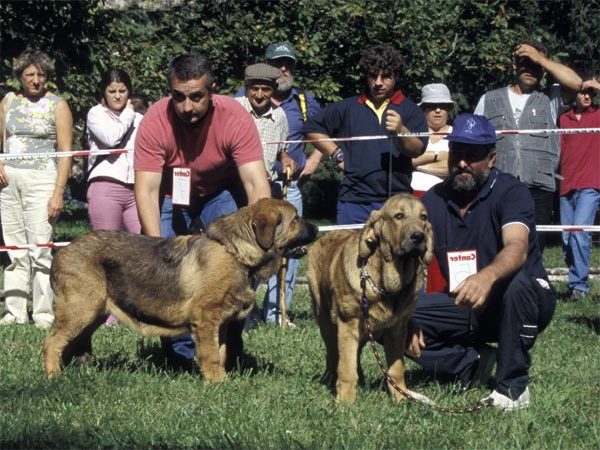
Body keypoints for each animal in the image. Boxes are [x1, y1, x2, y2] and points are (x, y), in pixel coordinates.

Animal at [42, 200, 318, 380]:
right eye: (295, 219)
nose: (316, 229)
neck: (234, 251)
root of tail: (61, 252)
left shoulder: (220, 323)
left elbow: (220, 353)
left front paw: (222, 380)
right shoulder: (205, 319)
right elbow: (210, 354)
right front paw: (216, 383)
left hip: (93, 314)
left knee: (72, 344)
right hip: (80, 311)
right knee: (52, 342)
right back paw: (54, 375)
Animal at [310, 193, 432, 404]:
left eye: (423, 217)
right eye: (399, 216)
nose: (419, 236)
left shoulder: (397, 330)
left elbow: (396, 369)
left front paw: (401, 398)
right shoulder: (347, 325)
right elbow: (347, 369)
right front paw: (344, 404)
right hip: (326, 321)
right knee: (334, 355)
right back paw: (331, 380)